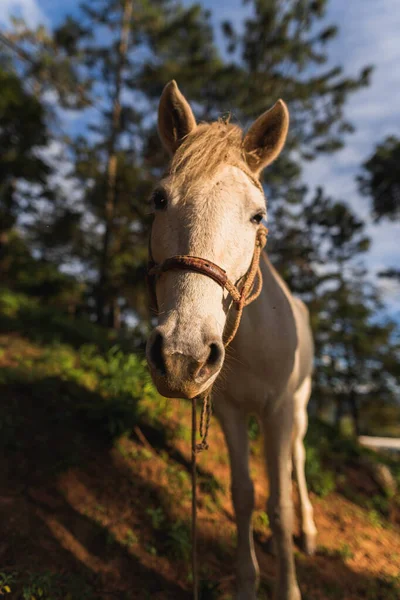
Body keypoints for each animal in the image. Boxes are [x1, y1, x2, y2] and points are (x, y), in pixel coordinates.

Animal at [145, 81, 318, 600]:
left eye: (257, 215)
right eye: (159, 199)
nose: (182, 356)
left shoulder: (279, 410)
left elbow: (278, 506)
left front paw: (288, 587)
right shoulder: (228, 411)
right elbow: (244, 496)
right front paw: (246, 581)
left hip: (299, 406)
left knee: (298, 458)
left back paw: (309, 531)